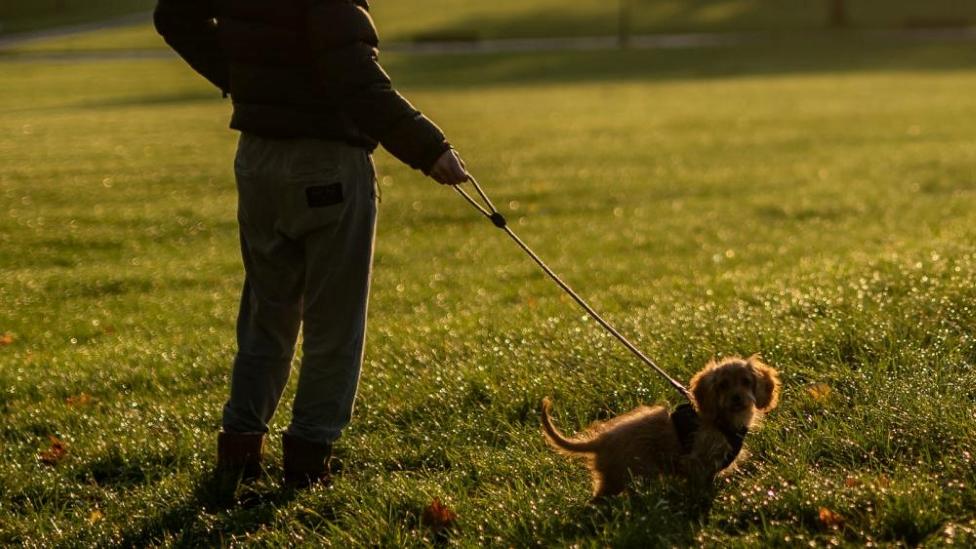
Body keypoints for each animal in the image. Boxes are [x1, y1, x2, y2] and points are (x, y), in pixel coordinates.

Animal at [540, 356, 776, 496]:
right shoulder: (696, 462)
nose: (737, 398)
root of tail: (600, 440)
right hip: (622, 477)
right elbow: (701, 485)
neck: (721, 421)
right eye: (723, 385)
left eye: (746, 381)